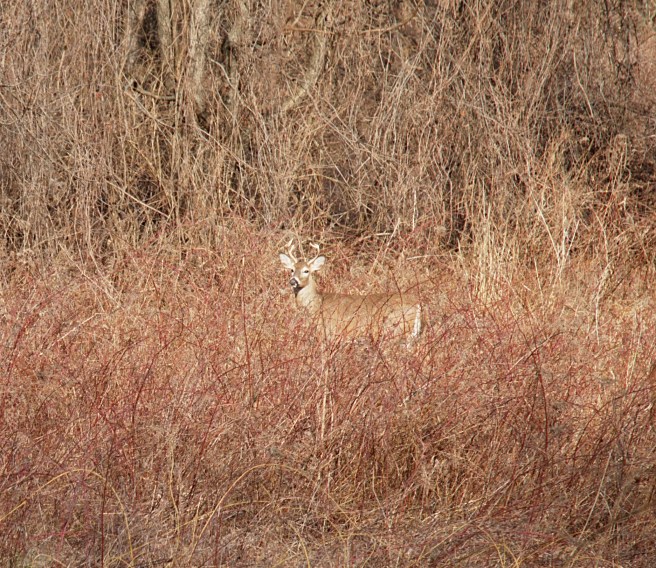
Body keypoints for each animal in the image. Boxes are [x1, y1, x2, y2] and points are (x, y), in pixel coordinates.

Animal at [279, 243, 424, 344]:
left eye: (306, 271)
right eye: (291, 270)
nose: (293, 281)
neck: (316, 303)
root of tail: (417, 304)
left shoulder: (328, 333)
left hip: (394, 330)